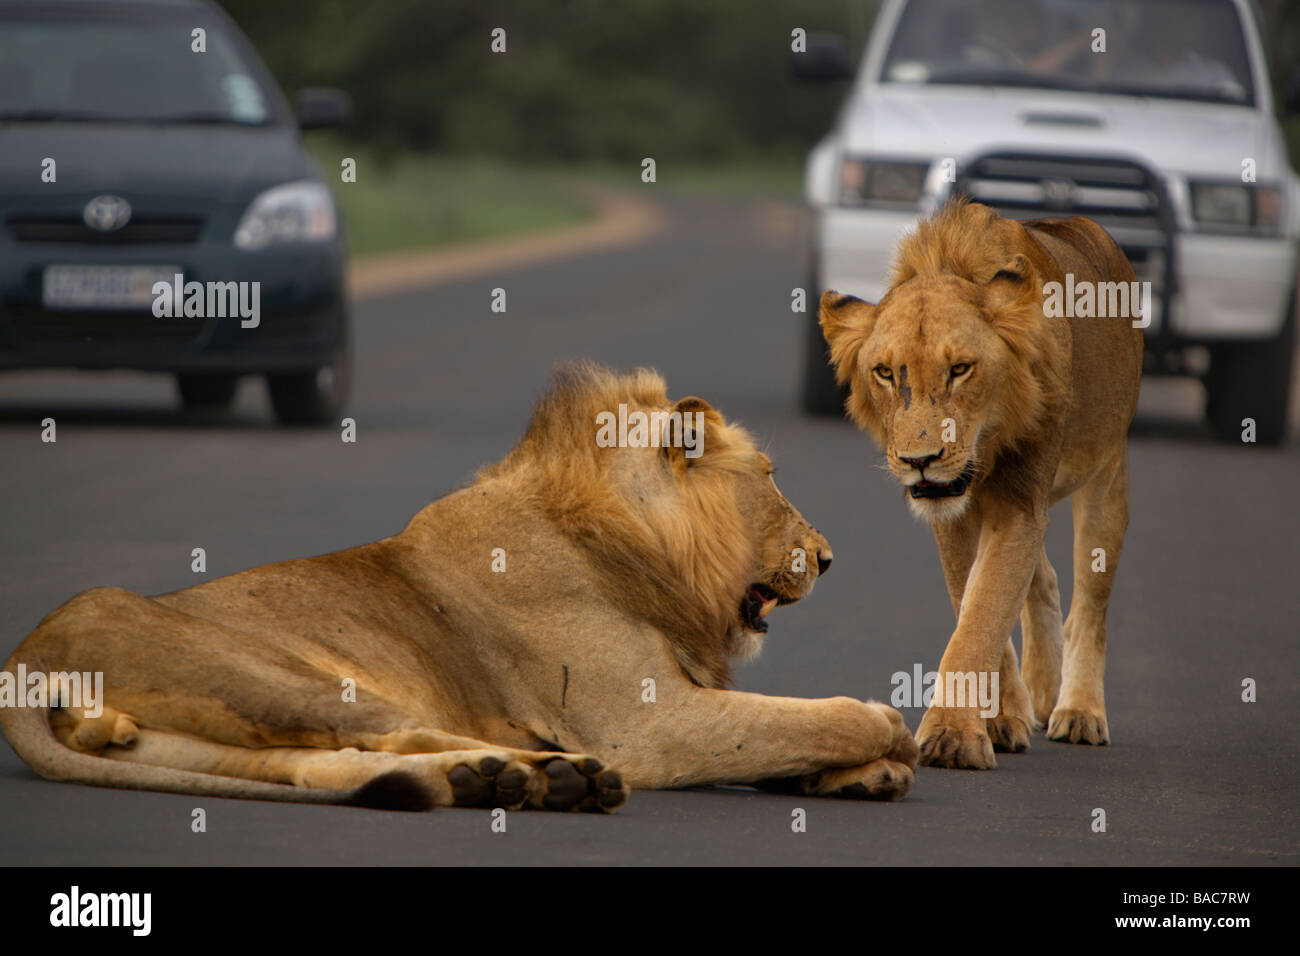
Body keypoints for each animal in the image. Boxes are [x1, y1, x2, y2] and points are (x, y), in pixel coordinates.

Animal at [2, 363, 917, 811]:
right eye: (769, 478)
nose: (828, 557)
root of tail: (31, 653)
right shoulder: (646, 727)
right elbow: (800, 720)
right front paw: (884, 733)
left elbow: (780, 733)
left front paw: (862, 775)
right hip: (295, 680)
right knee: (397, 737)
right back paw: (549, 776)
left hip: (197, 736)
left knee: (327, 767)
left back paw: (505, 784)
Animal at [819, 200, 1142, 770]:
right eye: (885, 373)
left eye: (960, 370)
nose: (919, 461)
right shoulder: (958, 514)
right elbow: (975, 602)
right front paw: (998, 719)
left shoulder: (1019, 499)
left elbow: (985, 608)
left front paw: (954, 735)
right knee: (1045, 579)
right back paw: (1041, 694)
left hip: (1107, 469)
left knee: (1091, 601)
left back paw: (1079, 711)